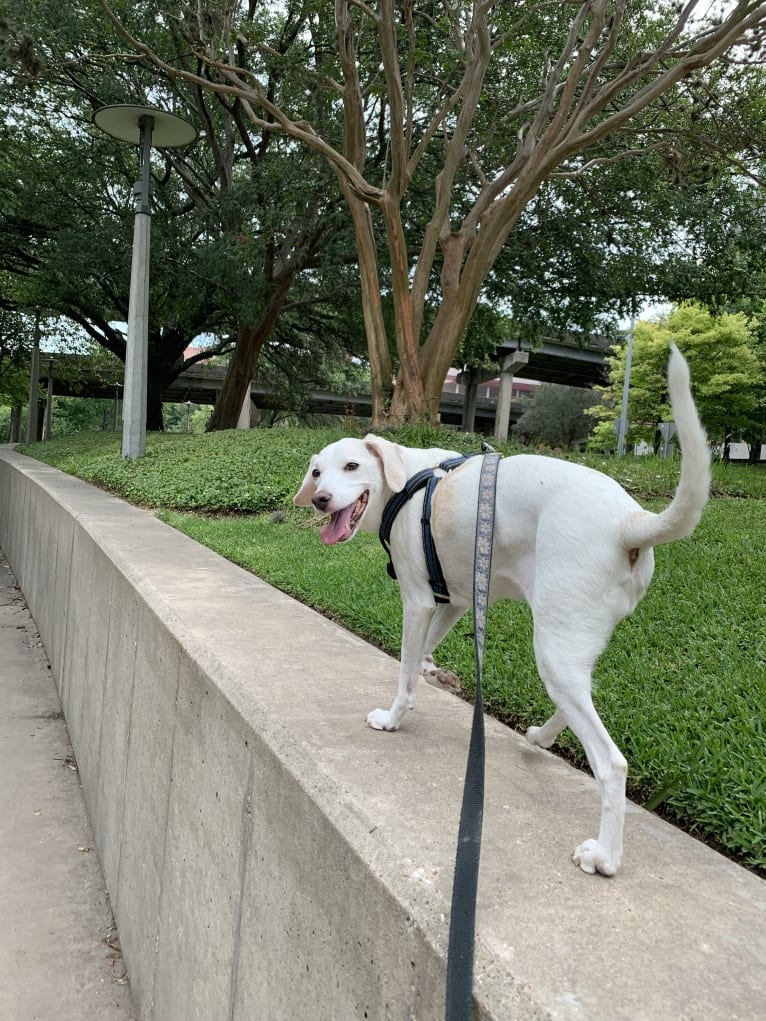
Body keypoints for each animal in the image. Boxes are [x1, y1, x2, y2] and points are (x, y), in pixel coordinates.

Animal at [296, 347, 714, 873]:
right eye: (317, 473)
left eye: (352, 466)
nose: (322, 498)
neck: (405, 483)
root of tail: (630, 523)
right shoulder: (454, 600)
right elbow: (423, 652)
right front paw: (433, 672)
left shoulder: (417, 601)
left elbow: (404, 668)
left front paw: (394, 717)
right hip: (570, 642)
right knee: (579, 698)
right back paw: (543, 736)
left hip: (554, 646)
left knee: (611, 762)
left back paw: (604, 856)